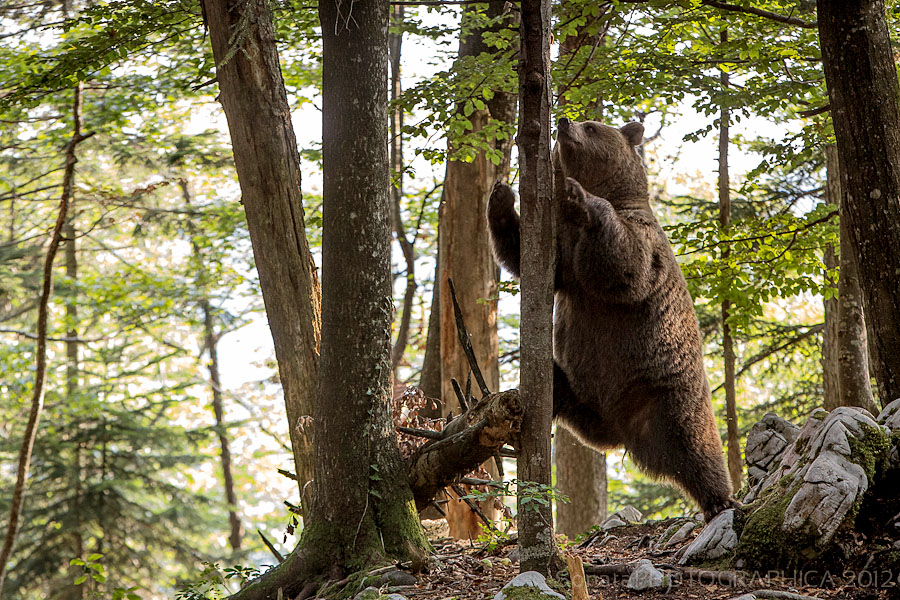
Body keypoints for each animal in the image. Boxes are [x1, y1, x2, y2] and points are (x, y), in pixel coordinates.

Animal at [488, 117, 736, 520]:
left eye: (591, 125)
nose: (564, 122)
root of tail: (620, 433)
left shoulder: (639, 239)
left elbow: (624, 265)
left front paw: (580, 194)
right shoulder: (559, 252)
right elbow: (522, 256)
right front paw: (500, 193)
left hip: (668, 394)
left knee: (696, 448)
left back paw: (720, 499)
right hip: (582, 392)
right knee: (559, 384)